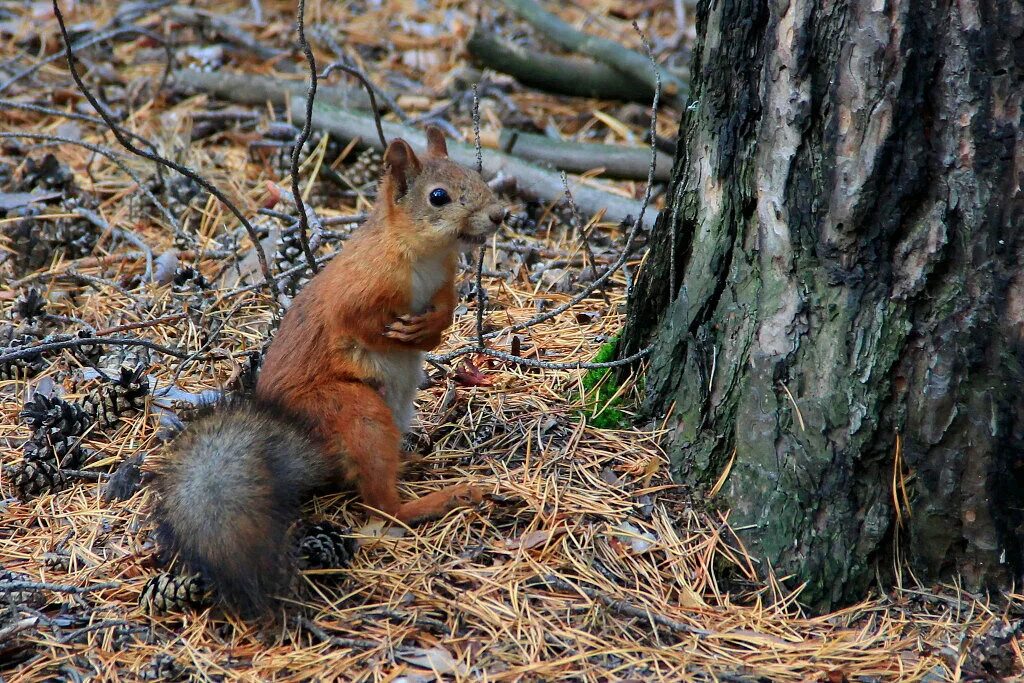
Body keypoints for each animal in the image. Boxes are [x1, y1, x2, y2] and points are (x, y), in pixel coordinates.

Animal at [149, 126, 505, 614]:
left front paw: (430, 329)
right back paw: (442, 498)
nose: (500, 215)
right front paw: (406, 335)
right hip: (356, 409)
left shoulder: (447, 280)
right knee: (383, 508)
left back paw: (411, 461)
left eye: (475, 173)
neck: (424, 255)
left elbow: (446, 314)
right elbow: (358, 325)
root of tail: (310, 444)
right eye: (438, 196)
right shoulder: (358, 291)